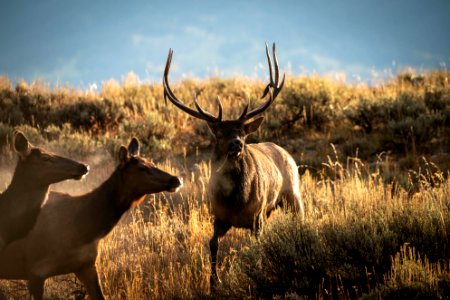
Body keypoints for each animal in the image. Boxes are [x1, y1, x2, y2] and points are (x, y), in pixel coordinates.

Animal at [0, 138, 183, 300]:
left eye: (151, 162)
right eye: (142, 168)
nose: (176, 179)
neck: (84, 229)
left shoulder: (87, 265)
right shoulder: (35, 270)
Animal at [163, 43, 304, 288]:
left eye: (242, 133)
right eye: (220, 133)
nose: (237, 143)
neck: (236, 200)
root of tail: (286, 152)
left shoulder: (257, 216)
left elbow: (258, 246)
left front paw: (256, 272)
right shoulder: (219, 216)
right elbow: (212, 244)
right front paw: (213, 283)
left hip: (292, 193)